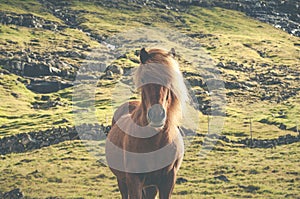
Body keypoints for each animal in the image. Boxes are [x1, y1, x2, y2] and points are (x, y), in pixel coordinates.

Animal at [106, 47, 188, 198]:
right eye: (144, 78)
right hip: (122, 181)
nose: (157, 115)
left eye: (169, 80)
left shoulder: (168, 182)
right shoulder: (134, 182)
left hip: (150, 186)